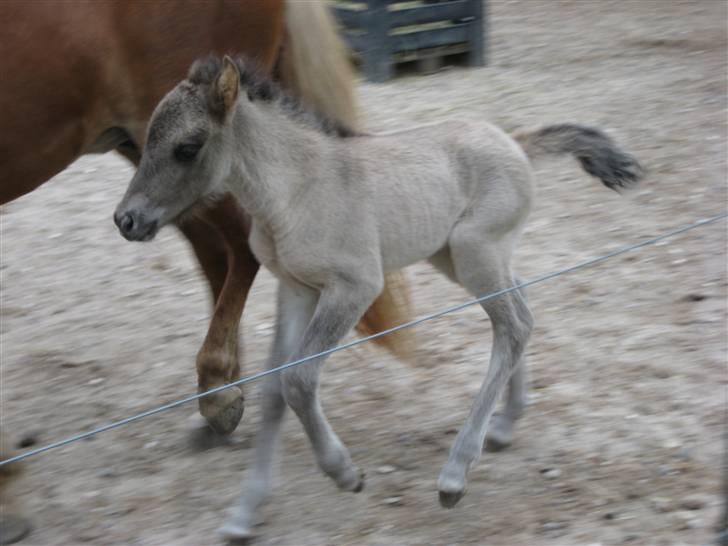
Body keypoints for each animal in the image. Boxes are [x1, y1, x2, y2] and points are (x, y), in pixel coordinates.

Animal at [0, 1, 412, 540]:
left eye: (188, 146)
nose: (123, 221)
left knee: (239, 247)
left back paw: (218, 390)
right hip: (153, 157)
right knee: (218, 254)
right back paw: (223, 395)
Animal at [114, 55, 644, 536]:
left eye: (187, 147)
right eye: (146, 141)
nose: (126, 220)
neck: (296, 190)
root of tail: (515, 141)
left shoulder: (354, 286)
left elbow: (299, 379)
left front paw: (344, 473)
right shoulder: (296, 289)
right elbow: (274, 388)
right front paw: (245, 513)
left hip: (475, 253)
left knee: (513, 326)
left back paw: (455, 475)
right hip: (459, 258)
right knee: (522, 311)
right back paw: (505, 426)